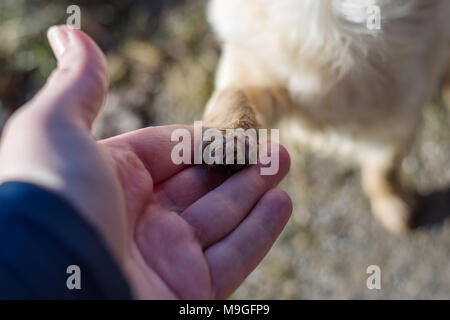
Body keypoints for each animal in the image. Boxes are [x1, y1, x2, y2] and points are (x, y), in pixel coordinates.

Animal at [202, 0, 450, 235]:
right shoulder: (256, 69)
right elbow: (234, 96)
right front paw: (226, 138)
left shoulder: (399, 118)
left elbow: (384, 168)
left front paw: (392, 201)